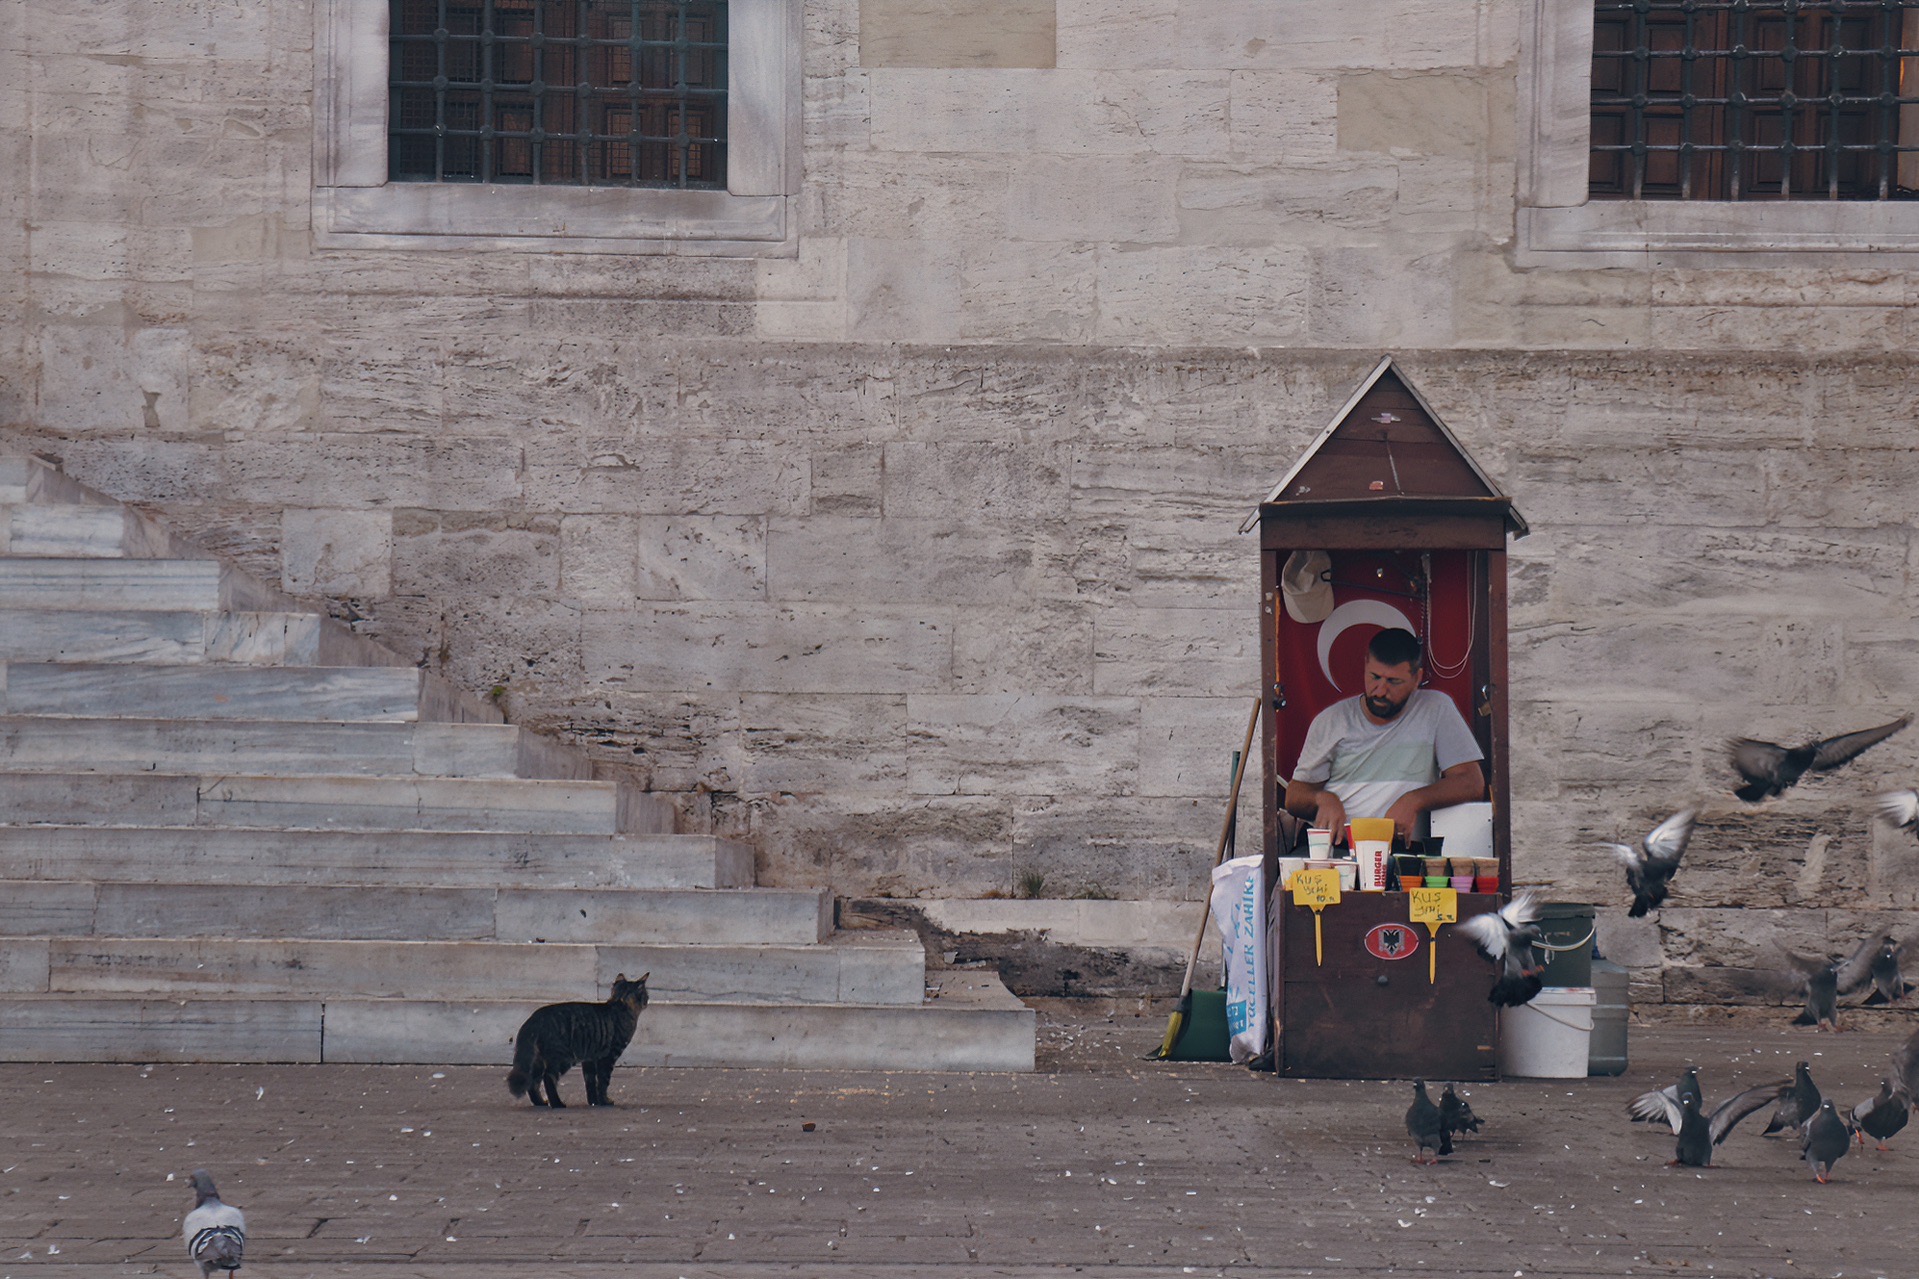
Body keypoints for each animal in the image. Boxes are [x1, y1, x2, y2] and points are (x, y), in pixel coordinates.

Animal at [506, 971, 648, 1098]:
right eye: (646, 994)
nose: (647, 1001)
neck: (619, 1003)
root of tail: (535, 1017)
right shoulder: (609, 1056)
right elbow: (603, 1082)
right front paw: (604, 1101)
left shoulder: (590, 1059)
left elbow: (591, 1085)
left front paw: (594, 1102)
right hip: (562, 1057)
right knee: (548, 1078)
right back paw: (557, 1104)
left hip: (539, 1060)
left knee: (533, 1082)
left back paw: (541, 1103)